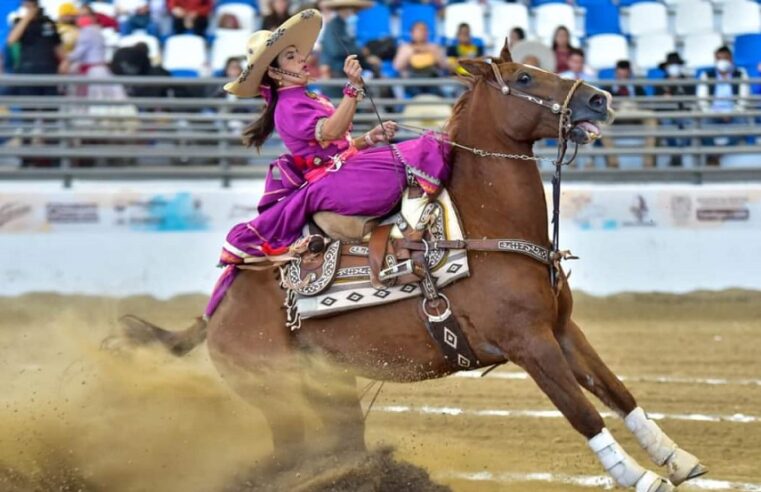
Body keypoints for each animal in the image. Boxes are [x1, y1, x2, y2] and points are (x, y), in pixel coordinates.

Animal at [121, 44, 704, 490]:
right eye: (524, 77)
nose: (600, 99)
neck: (484, 228)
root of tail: (215, 313)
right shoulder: (528, 344)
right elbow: (582, 412)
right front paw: (642, 477)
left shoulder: (561, 330)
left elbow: (617, 392)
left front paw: (679, 461)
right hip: (278, 397)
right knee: (290, 460)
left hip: (332, 389)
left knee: (338, 451)